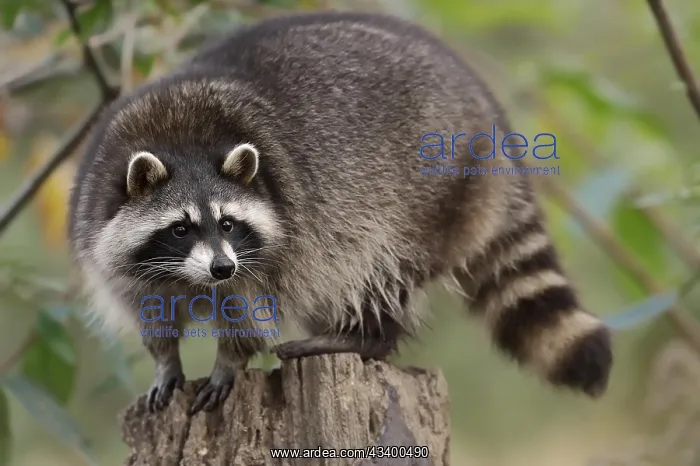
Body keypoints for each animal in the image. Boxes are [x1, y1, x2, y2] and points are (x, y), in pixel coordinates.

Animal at [68, 11, 613, 414]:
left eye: (227, 223)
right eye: (180, 228)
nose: (222, 267)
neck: (180, 141)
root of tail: (491, 117)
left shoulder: (270, 252)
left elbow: (251, 316)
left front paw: (230, 360)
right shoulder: (107, 231)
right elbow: (149, 311)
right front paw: (165, 361)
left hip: (430, 194)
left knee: (381, 272)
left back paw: (364, 337)